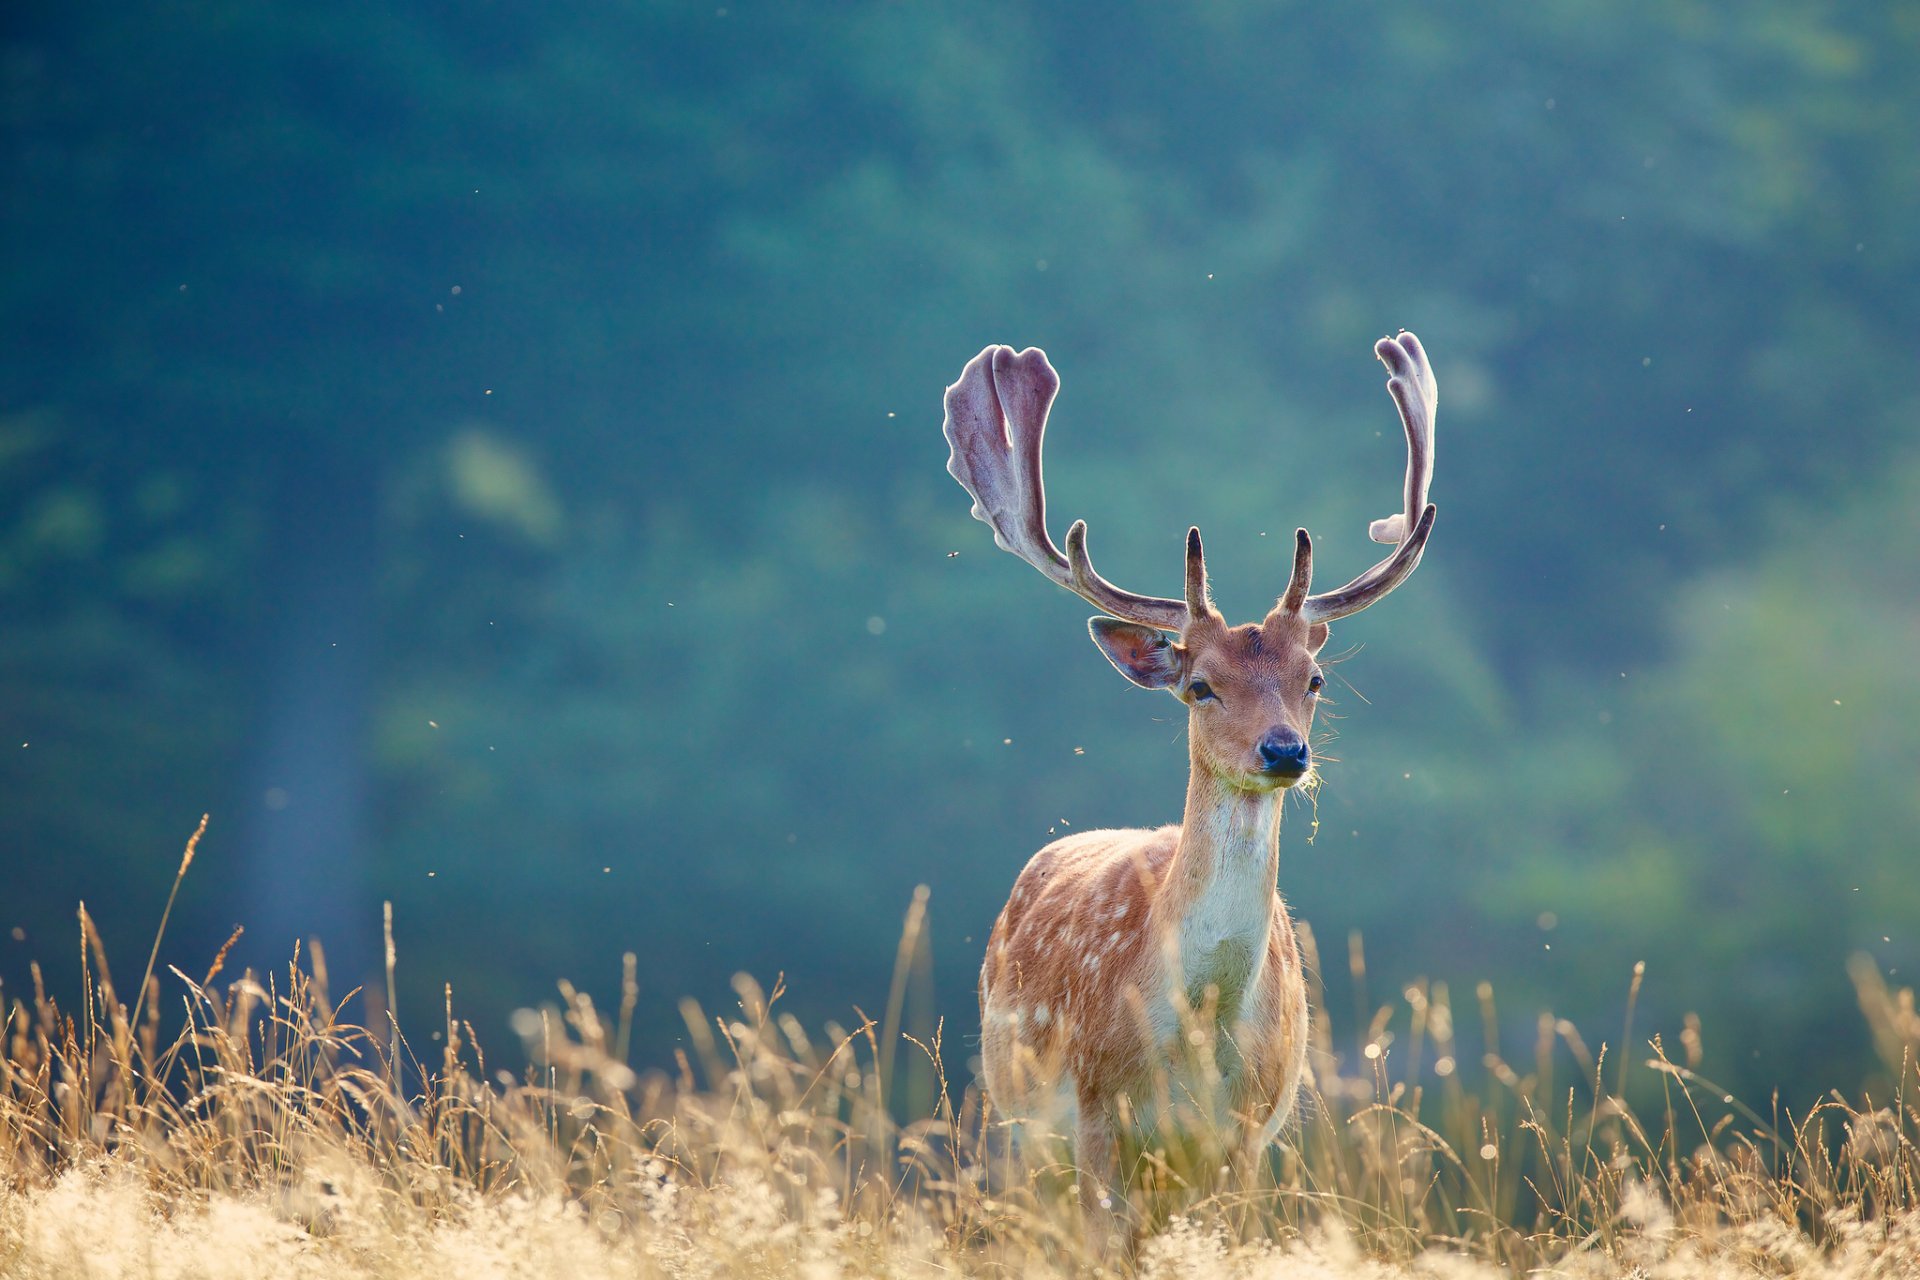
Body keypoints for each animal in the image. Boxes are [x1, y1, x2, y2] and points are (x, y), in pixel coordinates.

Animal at [943, 331, 1437, 1244]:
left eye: (1313, 679)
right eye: (1200, 685)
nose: (1284, 751)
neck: (1195, 1033)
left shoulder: (1244, 1135)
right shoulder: (1093, 1118)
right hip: (1016, 1124)